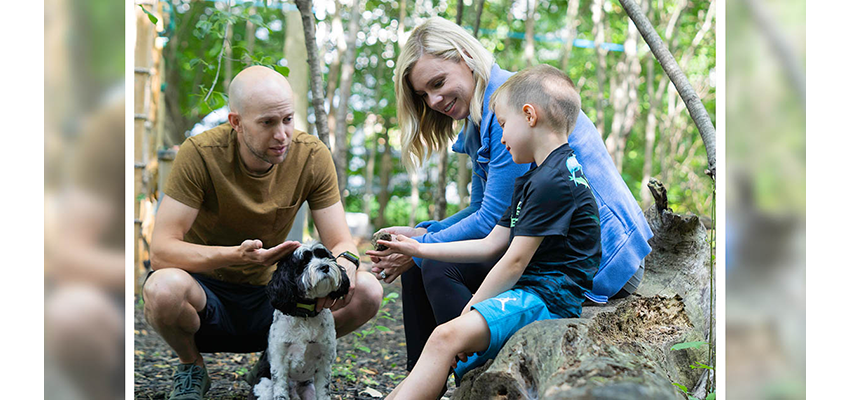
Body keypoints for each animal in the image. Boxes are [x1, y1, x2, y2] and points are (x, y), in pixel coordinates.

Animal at [250, 241, 350, 400]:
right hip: (263, 388)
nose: (324, 266)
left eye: (324, 256)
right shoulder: (279, 360)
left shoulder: (324, 361)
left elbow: (324, 391)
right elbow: (280, 389)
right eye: (303, 262)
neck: (305, 315)